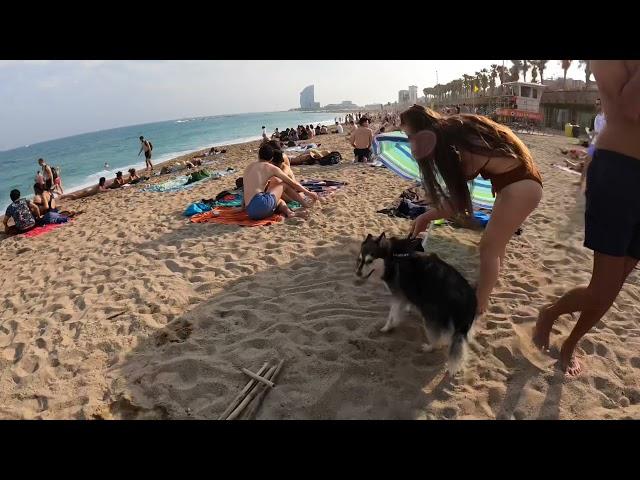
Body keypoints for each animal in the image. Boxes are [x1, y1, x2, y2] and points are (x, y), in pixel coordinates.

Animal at [356, 232, 476, 376]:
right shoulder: (405, 294)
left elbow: (392, 316)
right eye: (360, 259)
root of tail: (468, 297)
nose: (357, 273)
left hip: (430, 317)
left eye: (370, 261)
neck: (392, 258)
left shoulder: (397, 296)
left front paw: (387, 327)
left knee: (437, 339)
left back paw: (430, 347)